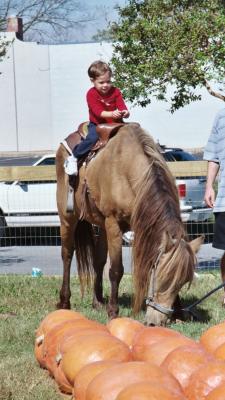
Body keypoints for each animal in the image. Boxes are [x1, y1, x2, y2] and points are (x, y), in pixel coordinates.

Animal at [55, 123, 202, 326]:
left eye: (181, 283)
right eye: (161, 278)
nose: (155, 323)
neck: (130, 172)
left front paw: (179, 312)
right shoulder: (114, 224)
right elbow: (116, 270)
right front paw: (113, 311)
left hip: (102, 225)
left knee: (98, 260)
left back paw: (97, 301)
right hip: (68, 218)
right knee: (67, 254)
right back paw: (64, 301)